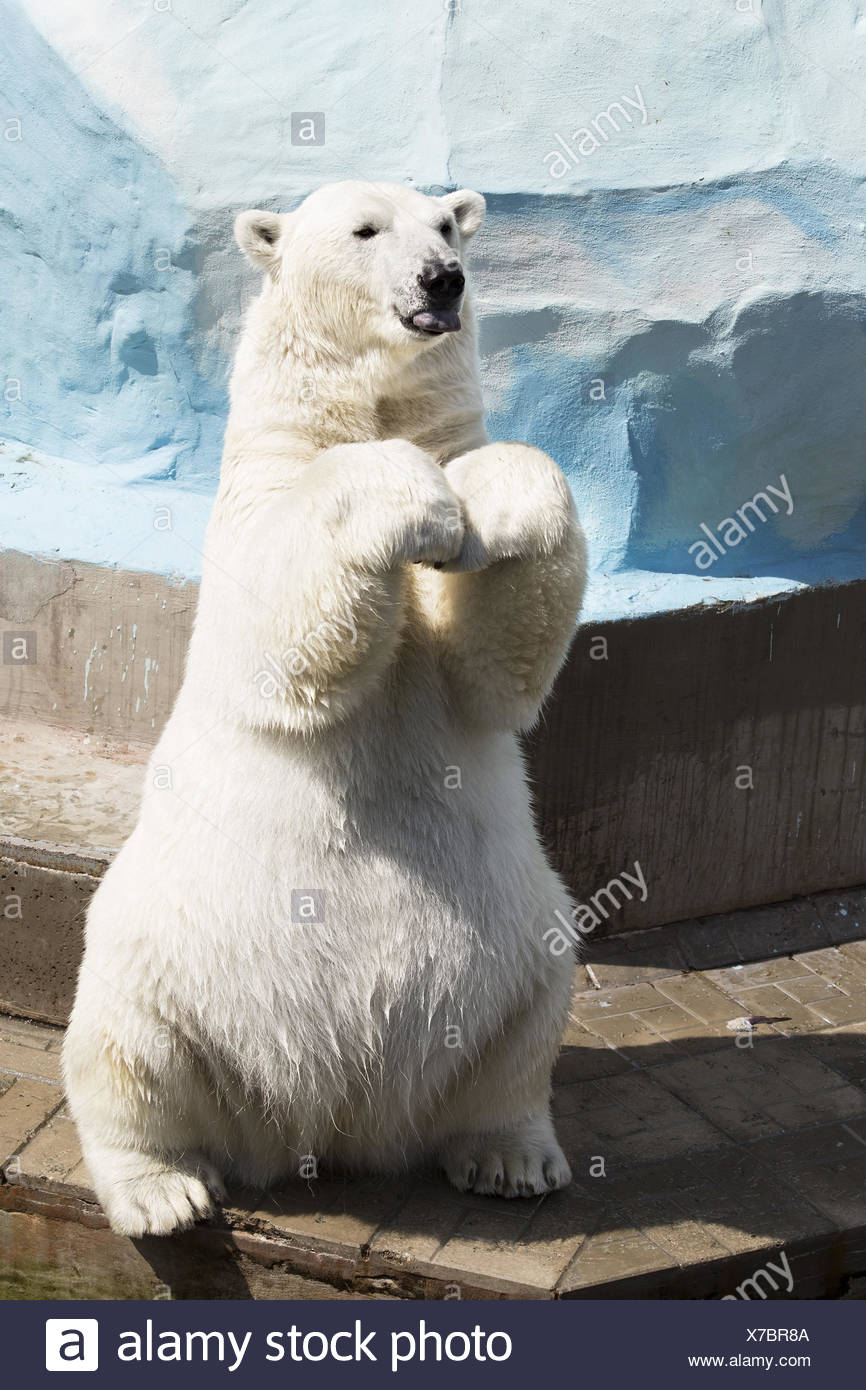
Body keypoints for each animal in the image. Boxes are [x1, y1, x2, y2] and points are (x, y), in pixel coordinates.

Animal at [63, 180, 587, 1237]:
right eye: (365, 229)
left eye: (448, 223)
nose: (443, 278)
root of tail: (325, 1125)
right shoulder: (255, 502)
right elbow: (282, 625)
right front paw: (421, 501)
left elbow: (492, 670)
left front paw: (490, 508)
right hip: (156, 959)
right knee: (126, 1057)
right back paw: (163, 1192)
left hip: (520, 941)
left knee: (525, 1031)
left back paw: (511, 1158)